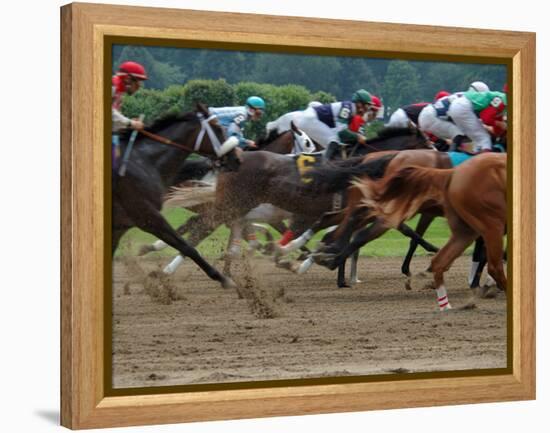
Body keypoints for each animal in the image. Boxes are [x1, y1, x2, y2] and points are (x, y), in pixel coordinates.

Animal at [112, 103, 239, 288]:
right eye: (218, 128)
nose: (237, 158)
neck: (145, 162)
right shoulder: (147, 216)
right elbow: (188, 246)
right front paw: (223, 278)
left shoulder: (121, 225)